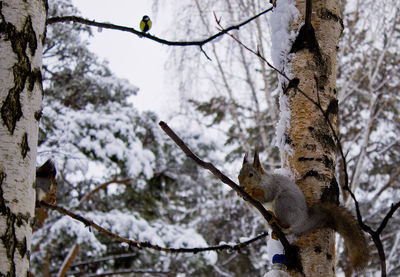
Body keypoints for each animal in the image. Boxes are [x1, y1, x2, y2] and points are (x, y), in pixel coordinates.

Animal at [238, 151, 368, 270]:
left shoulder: (271, 187)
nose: (242, 186)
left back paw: (275, 219)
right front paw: (240, 193)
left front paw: (250, 192)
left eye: (251, 175)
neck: (261, 181)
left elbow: (265, 196)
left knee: (287, 225)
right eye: (239, 174)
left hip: (283, 202)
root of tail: (303, 221)